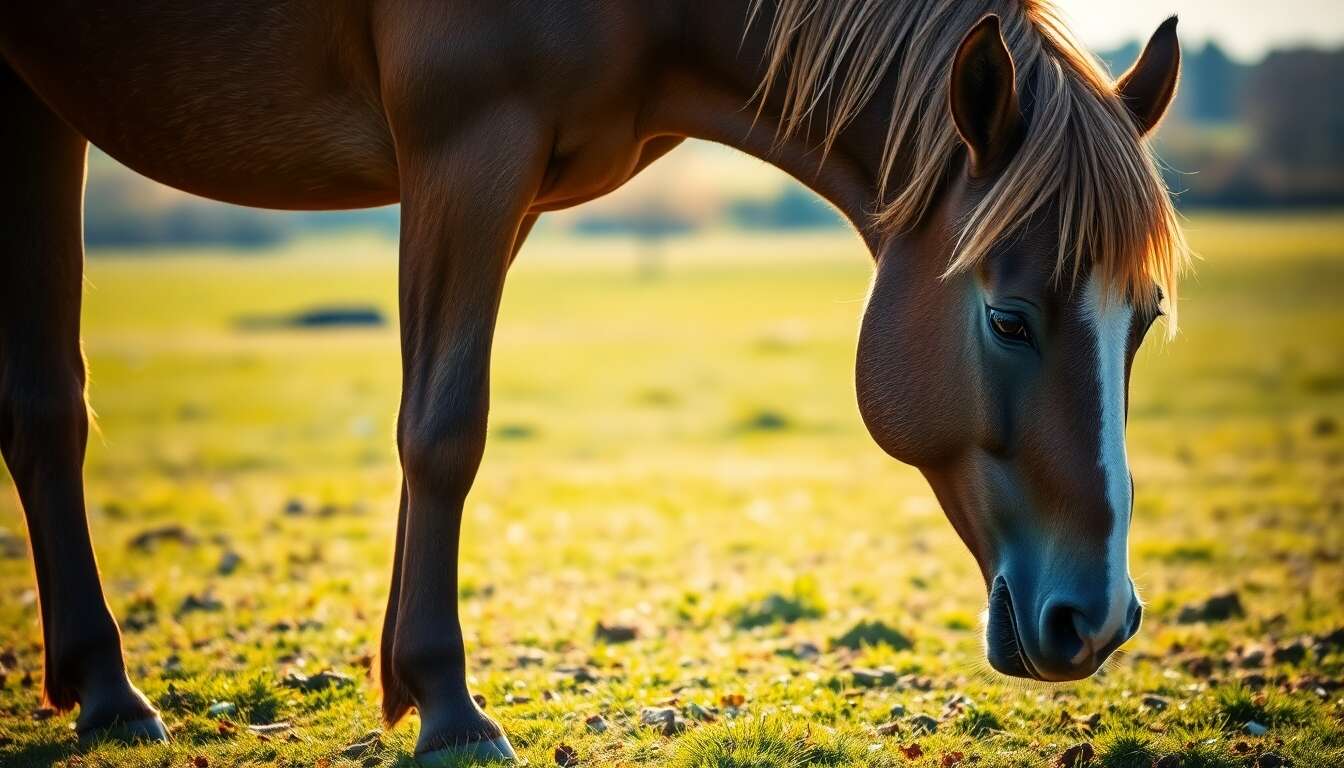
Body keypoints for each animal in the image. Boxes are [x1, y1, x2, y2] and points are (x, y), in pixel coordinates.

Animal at [0, 0, 1187, 762]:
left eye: (1145, 323)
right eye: (1008, 318)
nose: (1099, 619)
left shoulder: (506, 180)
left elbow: (431, 422)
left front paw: (406, 687)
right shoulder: (466, 151)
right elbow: (445, 430)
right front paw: (449, 707)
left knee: (44, 408)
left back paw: (99, 689)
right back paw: (111, 692)